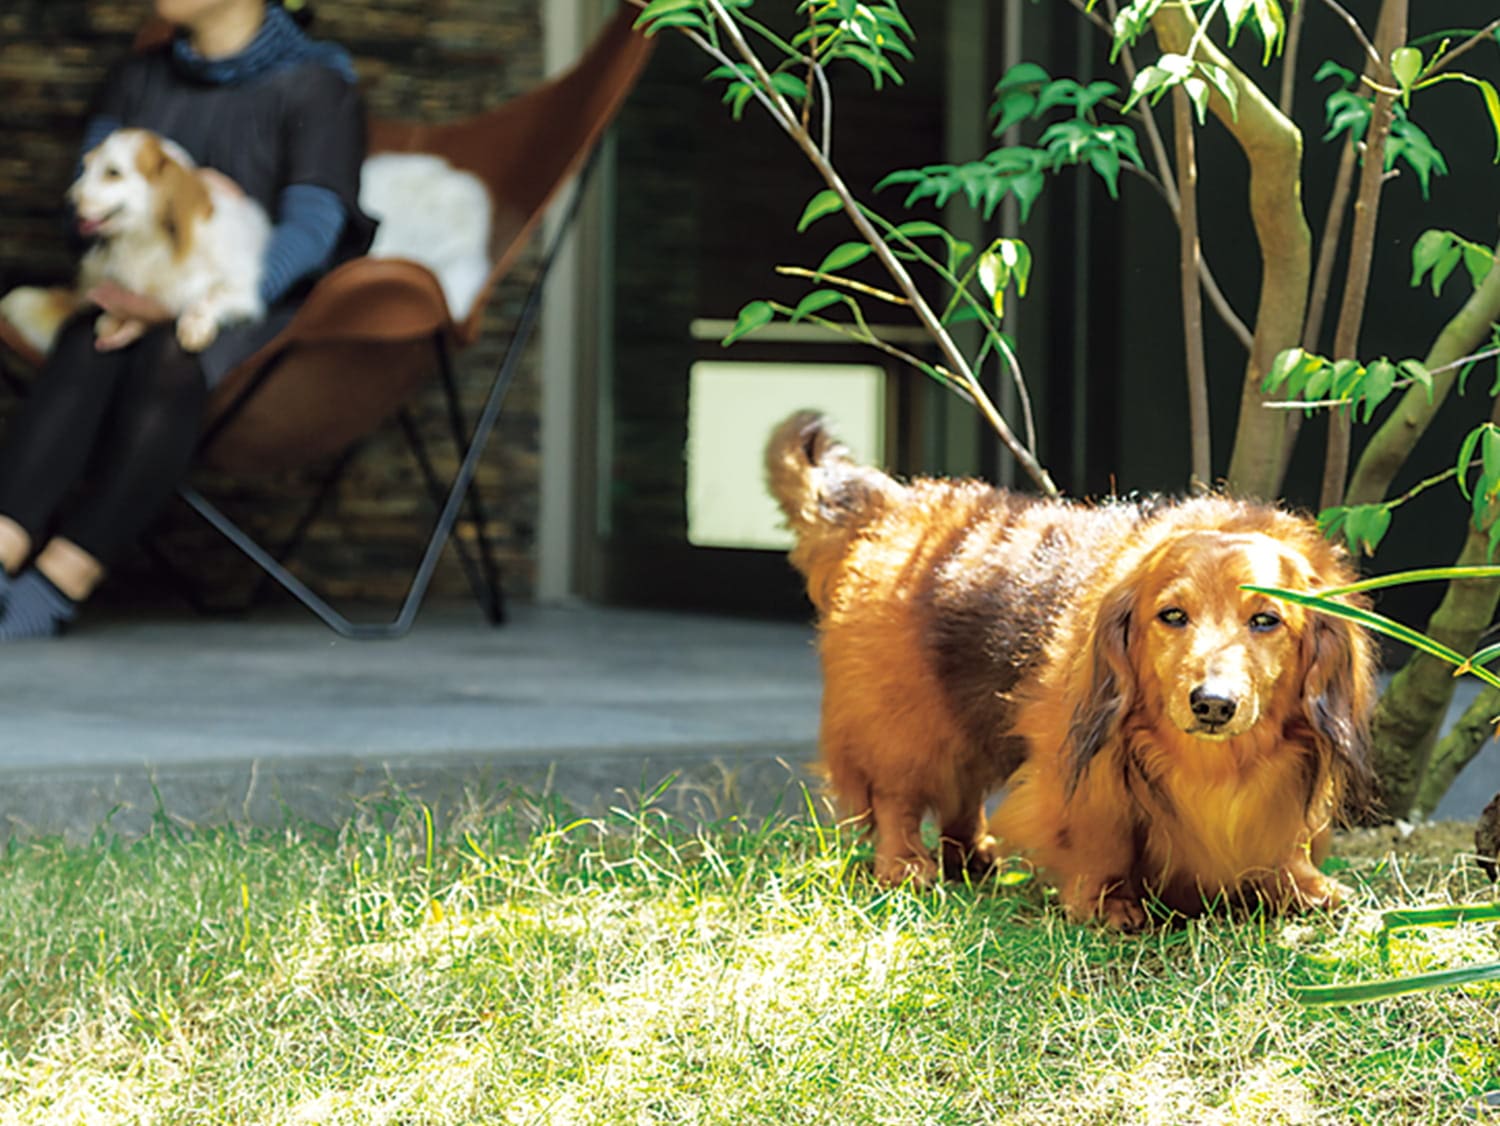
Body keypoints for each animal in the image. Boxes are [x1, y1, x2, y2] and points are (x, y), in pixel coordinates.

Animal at [0, 123, 267, 353]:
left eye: (113, 172)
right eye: (87, 166)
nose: (68, 203)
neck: (147, 243)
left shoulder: (243, 287)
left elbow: (209, 297)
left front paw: (195, 325)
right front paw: (112, 318)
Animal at [768, 410, 1374, 929]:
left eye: (1267, 619)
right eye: (1172, 615)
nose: (1212, 704)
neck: (1213, 764)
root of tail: (901, 504)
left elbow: (1286, 848)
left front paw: (1305, 887)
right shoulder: (1085, 769)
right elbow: (1099, 839)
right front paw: (1107, 903)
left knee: (962, 795)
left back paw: (973, 857)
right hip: (903, 720)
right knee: (898, 796)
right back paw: (906, 865)